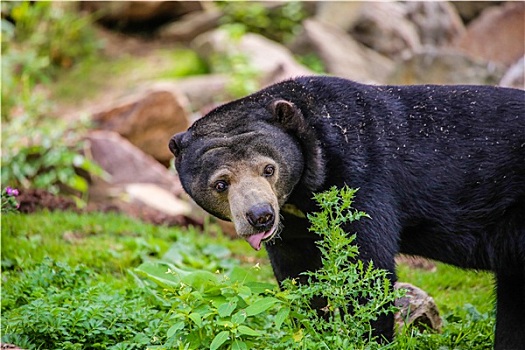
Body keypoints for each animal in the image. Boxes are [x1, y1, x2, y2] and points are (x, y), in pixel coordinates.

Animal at [169, 75, 524, 348]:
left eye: (269, 169)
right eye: (221, 183)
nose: (260, 216)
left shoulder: (362, 179)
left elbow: (367, 269)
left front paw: (367, 337)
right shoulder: (293, 224)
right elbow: (298, 274)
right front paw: (313, 329)